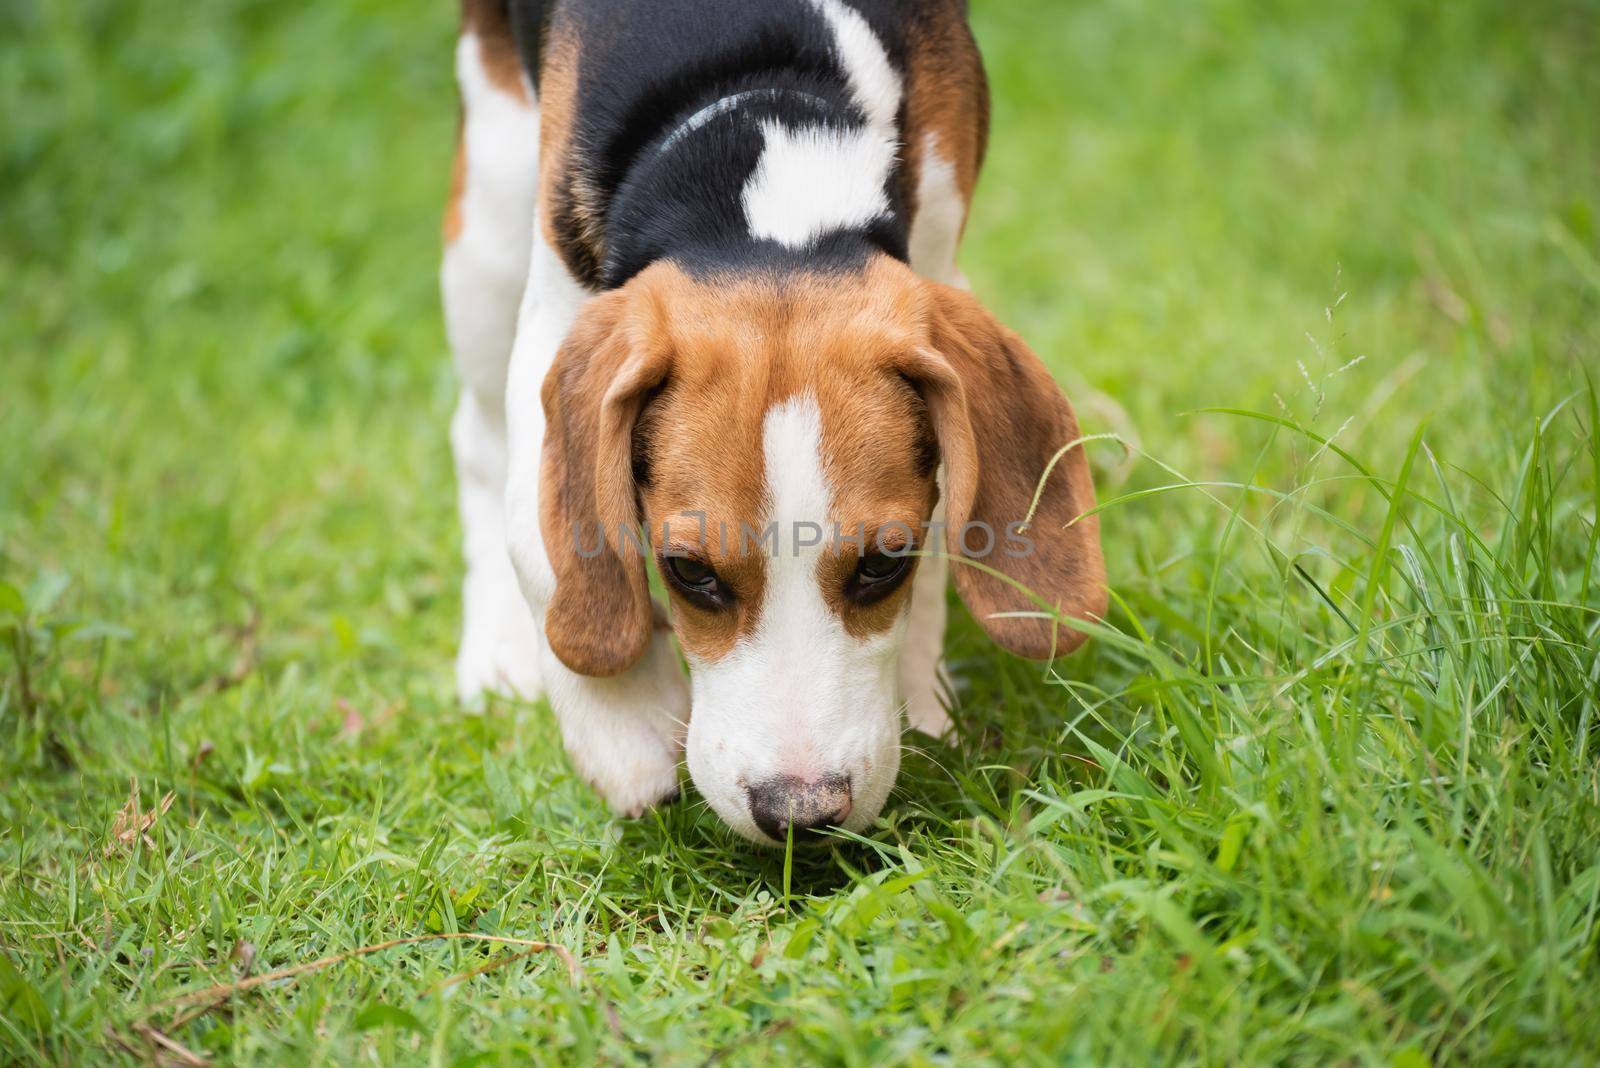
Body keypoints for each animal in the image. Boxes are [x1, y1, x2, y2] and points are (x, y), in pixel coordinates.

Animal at [444, 0, 1107, 844]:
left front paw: (919, 701)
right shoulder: (556, 314)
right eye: (688, 572)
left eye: (883, 564)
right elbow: (542, 540)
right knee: (479, 439)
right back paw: (498, 651)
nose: (800, 813)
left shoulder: (935, 244)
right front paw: (624, 724)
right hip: (490, 220)